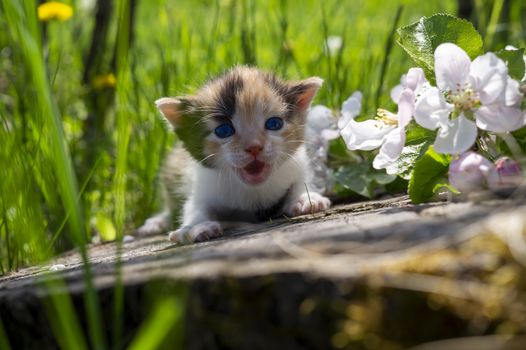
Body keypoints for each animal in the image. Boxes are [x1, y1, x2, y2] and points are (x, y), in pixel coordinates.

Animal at [138, 67, 332, 243]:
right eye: (224, 131)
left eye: (274, 124)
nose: (254, 147)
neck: (253, 190)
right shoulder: (203, 184)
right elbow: (194, 207)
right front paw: (196, 226)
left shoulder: (297, 163)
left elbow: (299, 183)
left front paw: (304, 198)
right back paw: (156, 223)